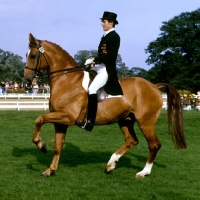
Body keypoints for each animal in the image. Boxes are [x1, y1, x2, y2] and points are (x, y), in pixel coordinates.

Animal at [24, 33, 187, 178]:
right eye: (27, 54)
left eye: (33, 56)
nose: (27, 81)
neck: (67, 80)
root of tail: (154, 86)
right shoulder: (60, 122)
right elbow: (58, 146)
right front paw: (49, 170)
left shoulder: (67, 117)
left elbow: (39, 119)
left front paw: (41, 145)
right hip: (126, 120)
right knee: (132, 140)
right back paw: (111, 164)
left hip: (146, 122)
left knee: (154, 145)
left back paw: (143, 172)